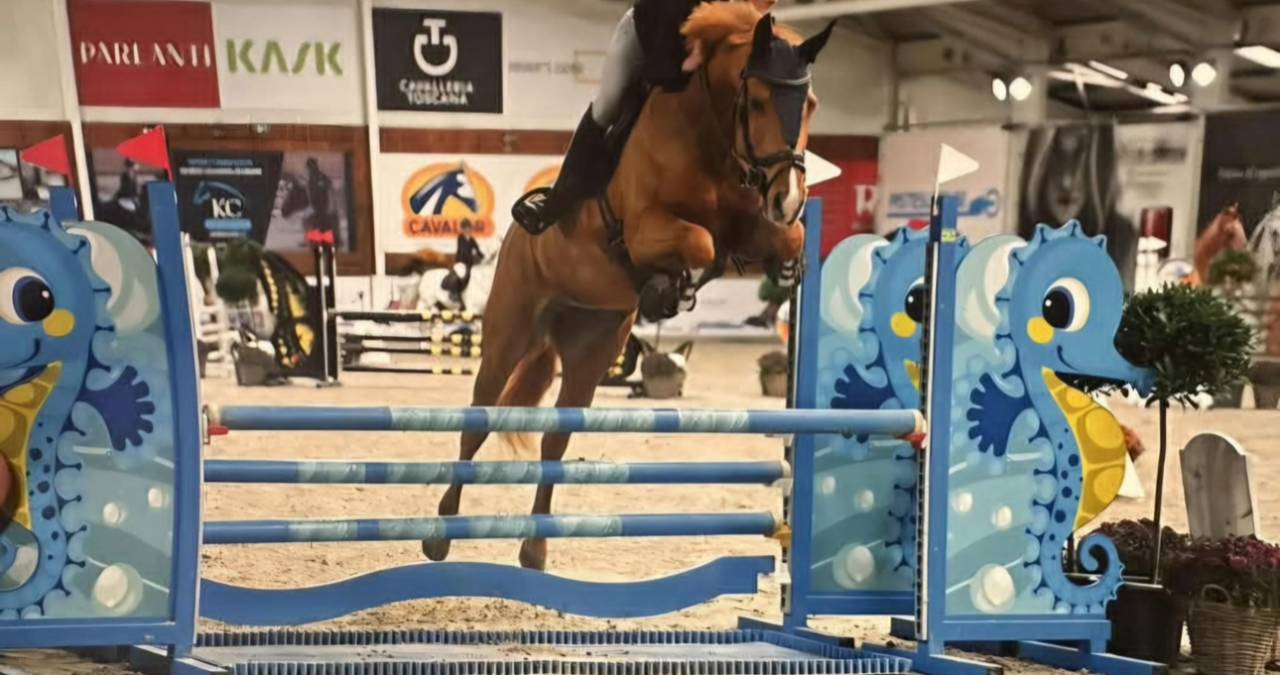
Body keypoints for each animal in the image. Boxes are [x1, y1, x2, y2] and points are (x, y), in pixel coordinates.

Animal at [422, 4, 833, 570]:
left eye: (811, 104)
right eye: (756, 101)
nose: (788, 198)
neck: (710, 135)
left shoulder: (752, 222)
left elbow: (775, 239)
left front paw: (780, 267)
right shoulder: (644, 228)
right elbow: (701, 242)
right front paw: (669, 287)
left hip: (591, 351)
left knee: (556, 441)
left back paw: (535, 549)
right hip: (510, 336)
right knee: (477, 422)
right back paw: (440, 533)